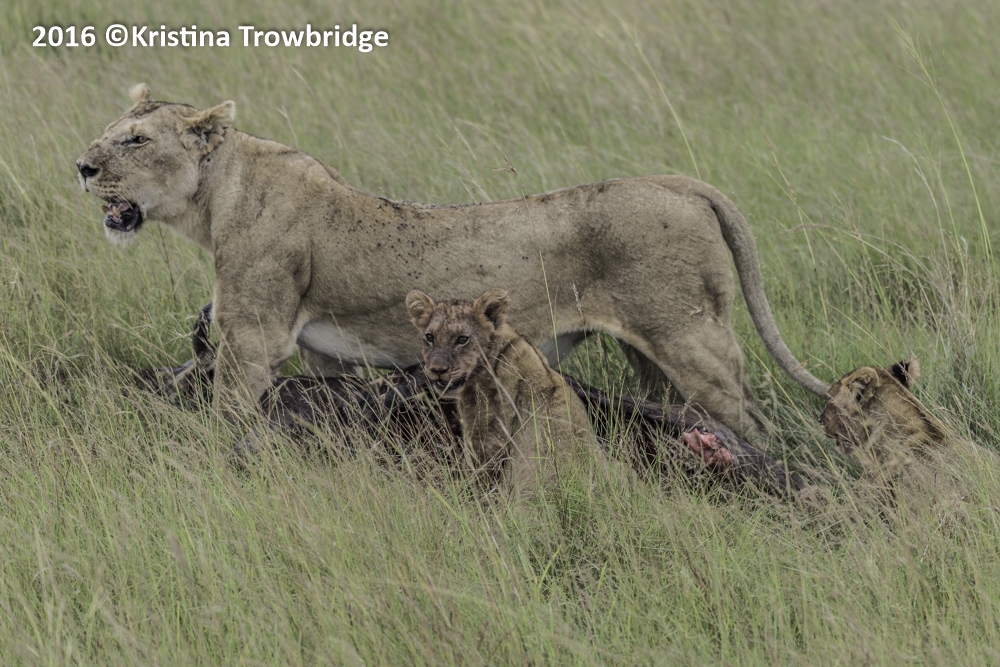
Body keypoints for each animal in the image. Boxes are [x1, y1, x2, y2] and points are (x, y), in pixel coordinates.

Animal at [77, 84, 829, 436]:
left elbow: (228, 414)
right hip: (652, 358)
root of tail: (680, 182)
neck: (215, 197)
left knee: (760, 423)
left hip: (692, 340)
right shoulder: (325, 355)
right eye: (107, 133)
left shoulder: (253, 340)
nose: (81, 166)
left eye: (136, 141)